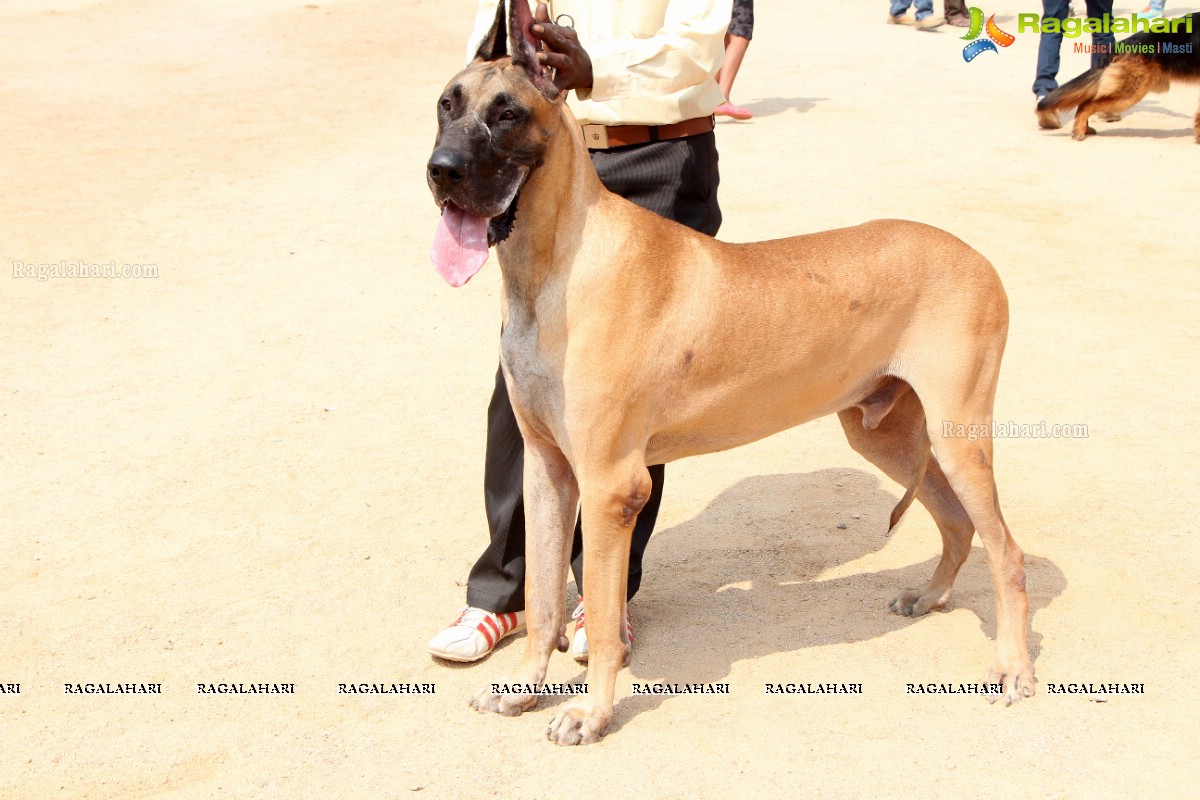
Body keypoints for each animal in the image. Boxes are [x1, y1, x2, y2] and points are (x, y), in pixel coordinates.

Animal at [1036, 13, 1195, 140]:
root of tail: (1124, 43)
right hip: (1131, 94)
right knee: (1087, 104)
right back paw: (1079, 131)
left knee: (1085, 102)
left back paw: (1084, 128)